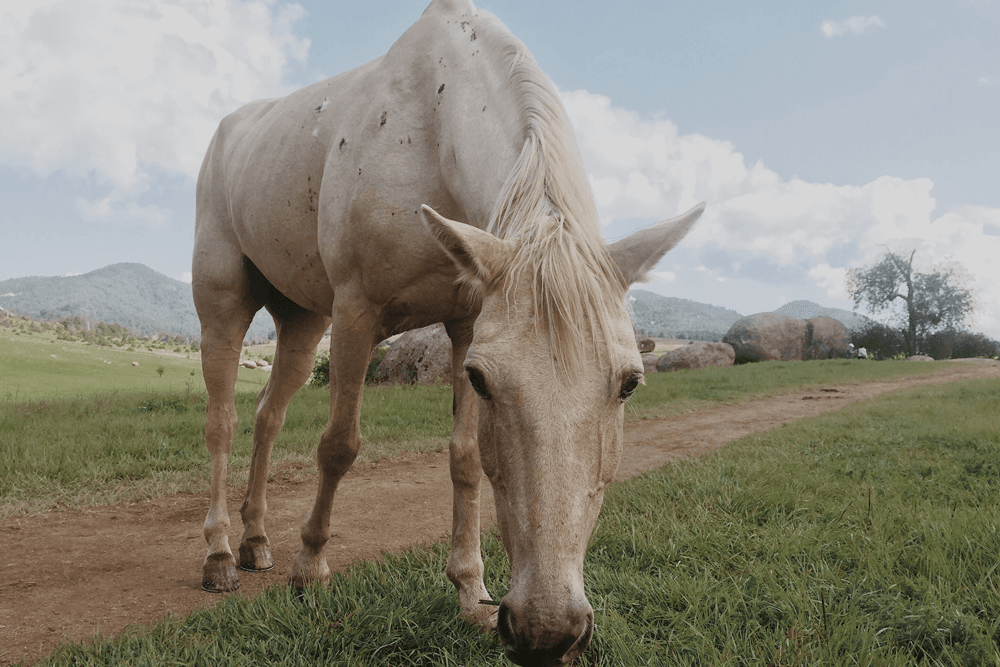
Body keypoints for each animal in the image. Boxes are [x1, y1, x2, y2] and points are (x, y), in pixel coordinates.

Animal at [192, 1, 703, 664]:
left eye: (630, 384)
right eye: (485, 380)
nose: (547, 632)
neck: (428, 130)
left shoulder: (463, 324)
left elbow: (464, 458)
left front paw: (470, 592)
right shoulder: (357, 313)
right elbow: (339, 446)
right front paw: (311, 567)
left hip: (302, 323)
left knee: (266, 418)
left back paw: (256, 541)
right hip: (224, 306)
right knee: (223, 424)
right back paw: (221, 553)